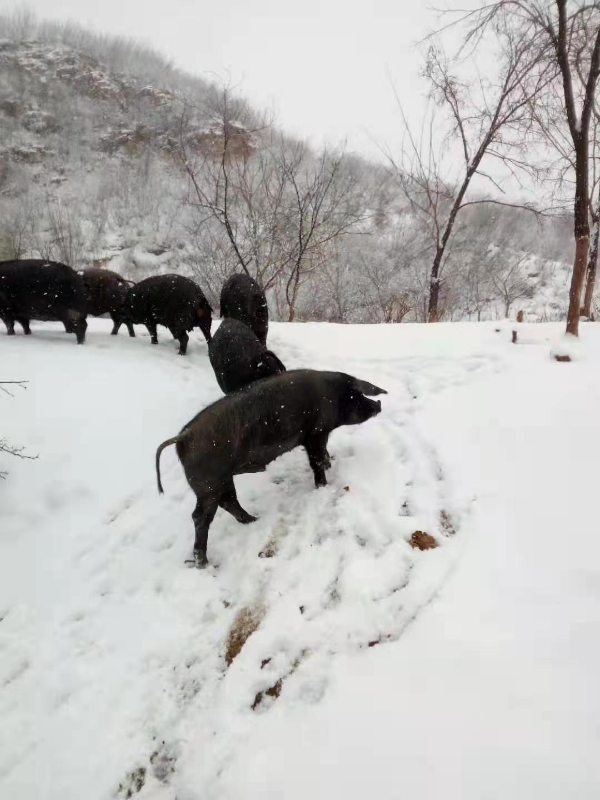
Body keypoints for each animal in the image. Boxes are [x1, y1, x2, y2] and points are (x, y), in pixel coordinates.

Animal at [155, 370, 386, 564]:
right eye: (356, 394)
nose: (379, 404)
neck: (332, 394)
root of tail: (183, 437)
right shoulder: (315, 434)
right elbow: (317, 461)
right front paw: (323, 485)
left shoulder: (320, 435)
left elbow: (324, 454)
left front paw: (330, 464)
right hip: (208, 484)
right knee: (201, 516)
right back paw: (203, 562)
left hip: (220, 481)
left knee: (228, 501)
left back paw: (253, 520)